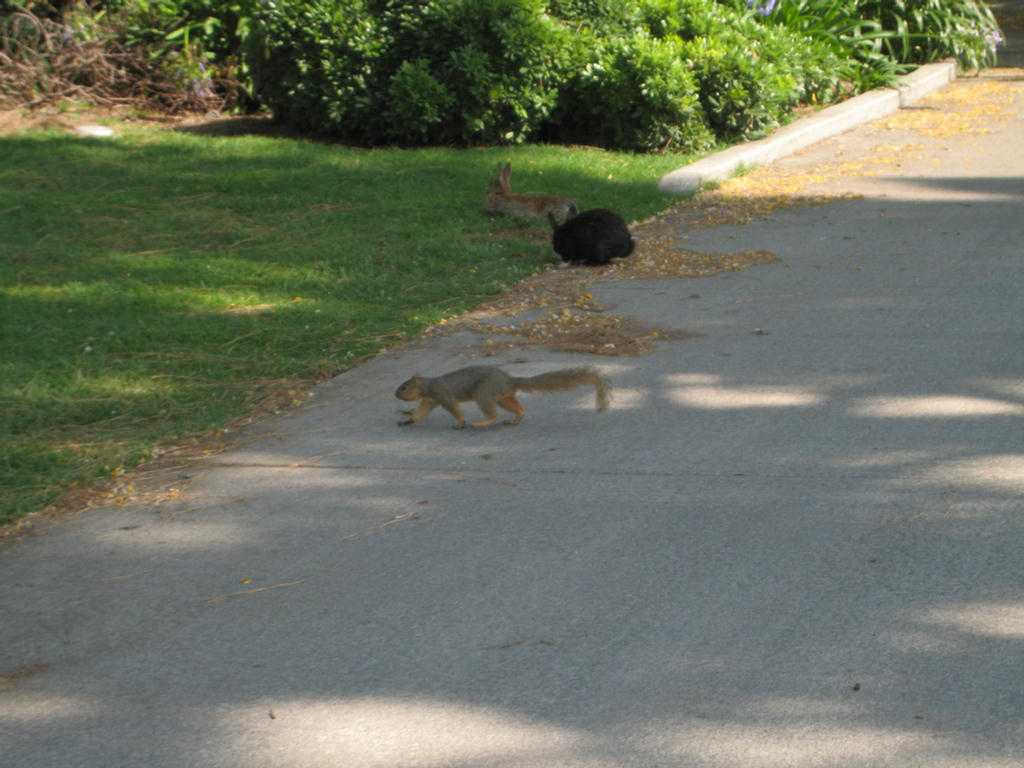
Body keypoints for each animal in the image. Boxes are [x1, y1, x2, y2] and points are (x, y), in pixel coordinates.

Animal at [393, 364, 606, 430]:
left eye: (404, 387)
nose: (395, 394)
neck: (427, 386)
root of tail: (510, 380)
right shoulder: (429, 400)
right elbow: (421, 412)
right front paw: (408, 420)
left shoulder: (442, 395)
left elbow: (454, 409)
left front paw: (460, 423)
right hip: (503, 397)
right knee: (520, 408)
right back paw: (514, 419)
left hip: (484, 394)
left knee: (492, 414)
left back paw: (480, 423)